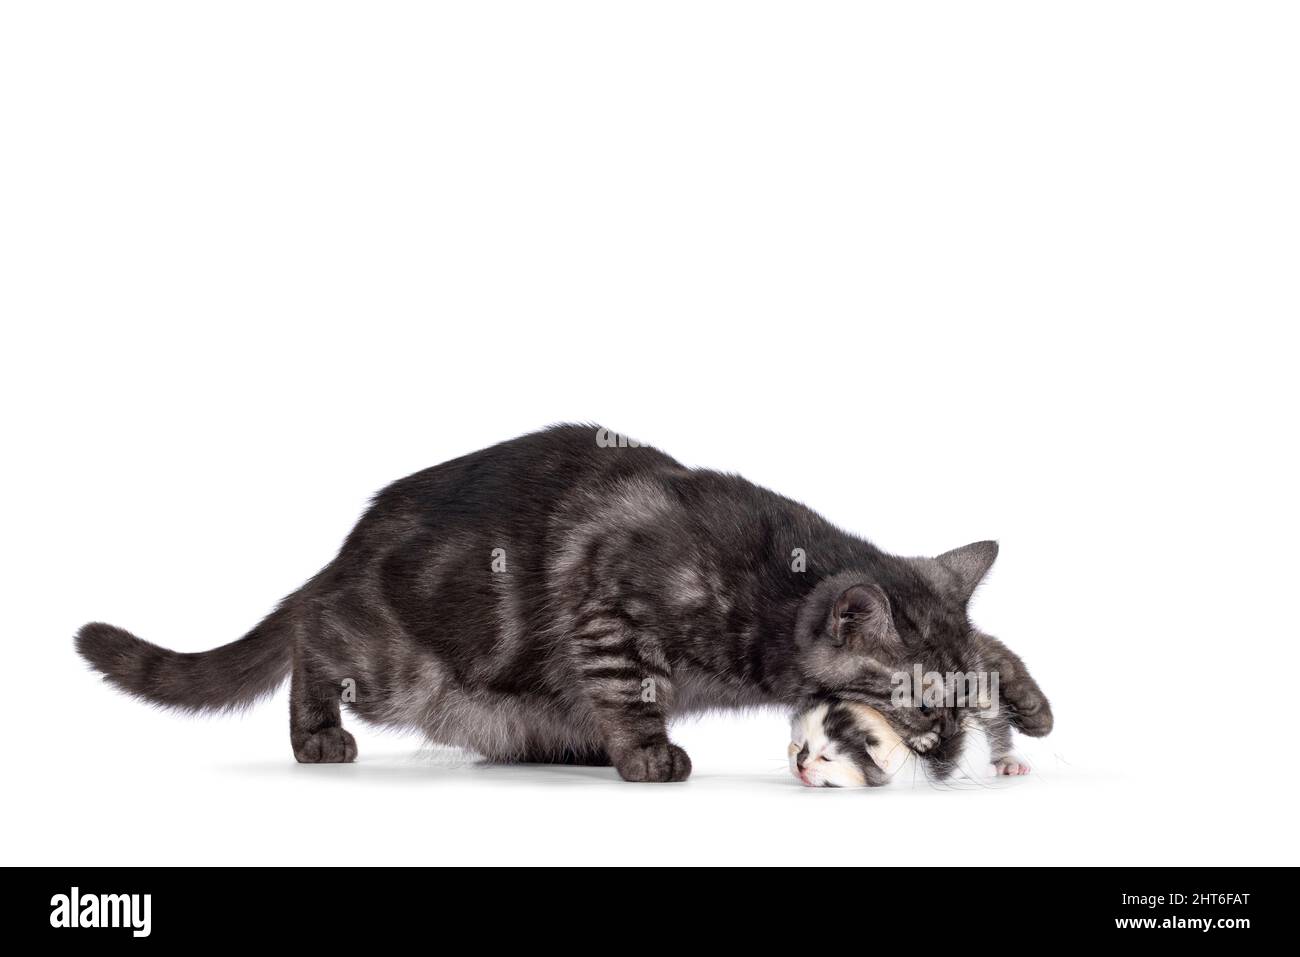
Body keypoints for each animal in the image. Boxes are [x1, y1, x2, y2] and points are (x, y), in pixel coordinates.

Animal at [71, 421, 1050, 780]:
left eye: (960, 703)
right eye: (918, 708)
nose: (953, 750)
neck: (777, 579)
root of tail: (343, 554)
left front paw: (1029, 699)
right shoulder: (613, 611)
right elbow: (633, 686)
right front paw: (650, 753)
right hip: (394, 665)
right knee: (312, 636)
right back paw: (316, 734)